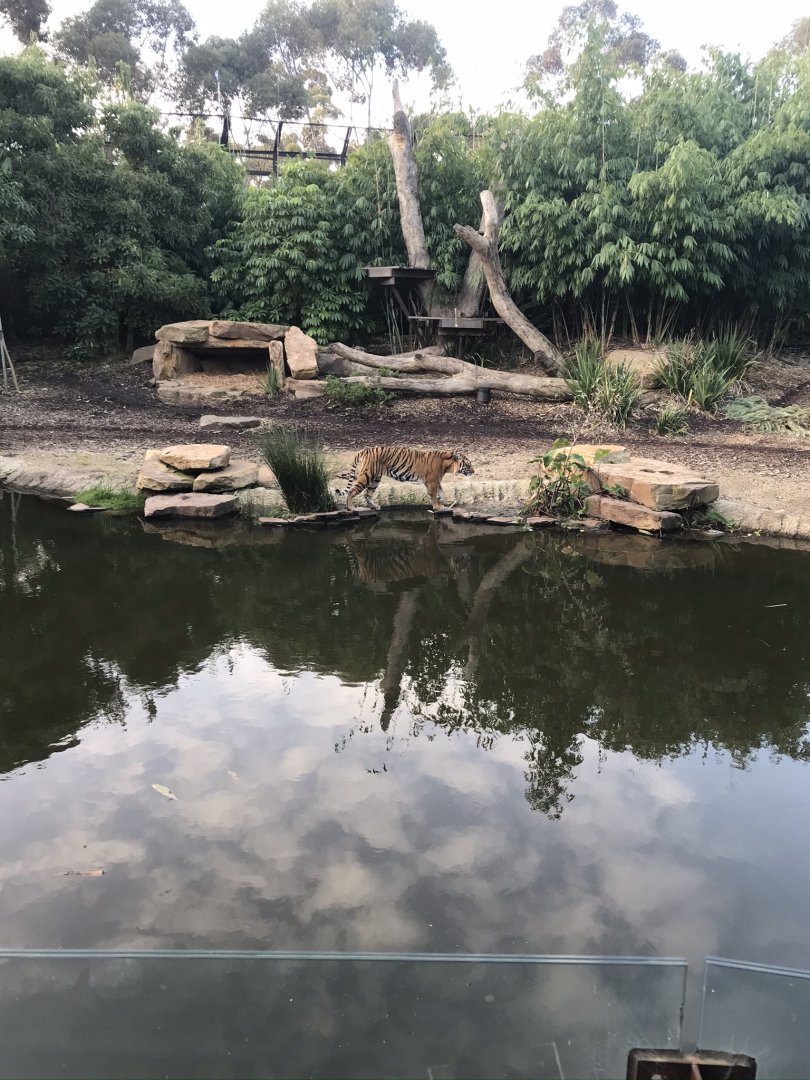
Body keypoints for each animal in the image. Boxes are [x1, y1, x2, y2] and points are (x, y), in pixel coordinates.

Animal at [340, 446, 475, 512]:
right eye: (468, 464)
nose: (474, 471)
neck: (447, 464)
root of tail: (365, 450)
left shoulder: (436, 480)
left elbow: (442, 491)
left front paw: (442, 502)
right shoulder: (431, 481)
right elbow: (433, 494)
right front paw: (437, 506)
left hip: (375, 479)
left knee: (367, 494)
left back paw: (375, 507)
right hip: (367, 476)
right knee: (352, 491)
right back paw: (350, 508)